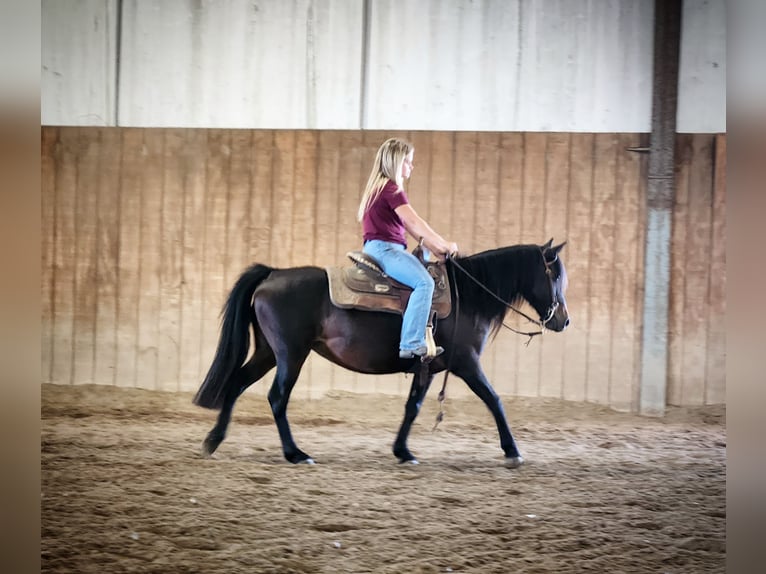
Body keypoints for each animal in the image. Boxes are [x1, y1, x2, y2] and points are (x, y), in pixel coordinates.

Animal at [195, 238, 572, 468]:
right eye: (554, 275)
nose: (564, 320)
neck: (468, 296)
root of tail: (272, 274)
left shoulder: (428, 367)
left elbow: (413, 407)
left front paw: (402, 451)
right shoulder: (466, 363)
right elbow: (494, 400)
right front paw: (512, 451)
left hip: (268, 352)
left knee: (236, 382)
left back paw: (213, 440)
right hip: (291, 354)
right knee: (277, 397)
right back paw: (295, 453)